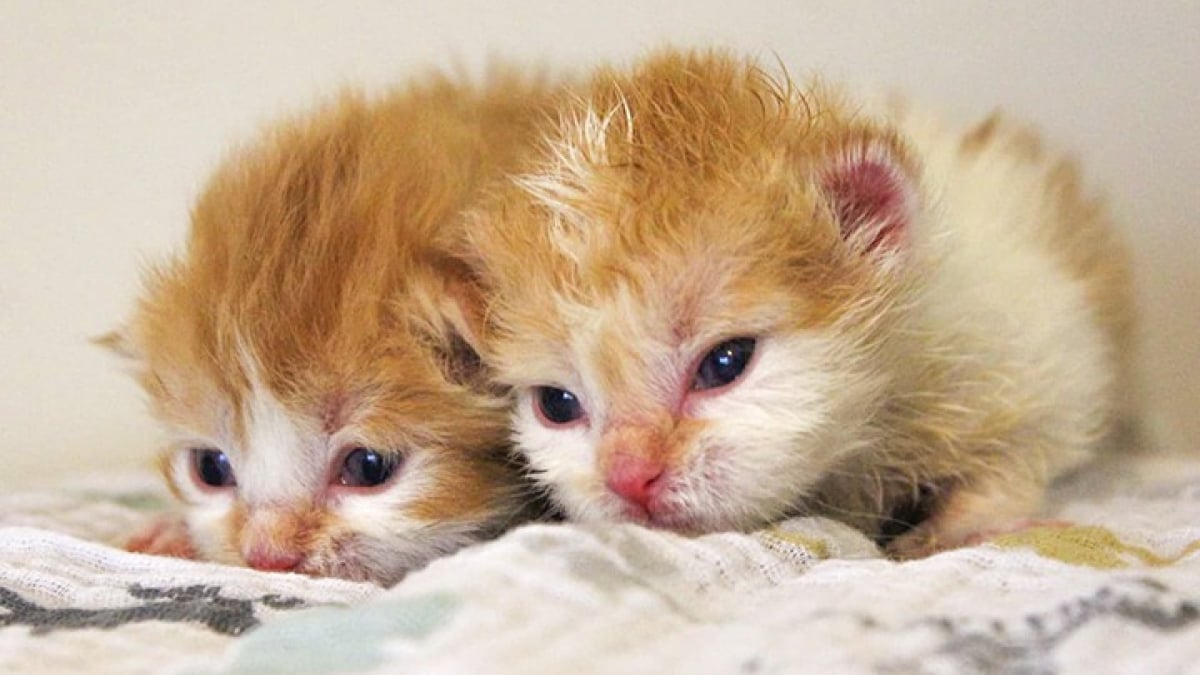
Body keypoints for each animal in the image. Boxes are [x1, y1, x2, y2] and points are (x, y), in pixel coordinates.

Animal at [460, 51, 1132, 557]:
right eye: (557, 404)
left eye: (726, 362)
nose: (628, 479)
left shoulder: (1030, 341)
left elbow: (1025, 447)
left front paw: (956, 526)